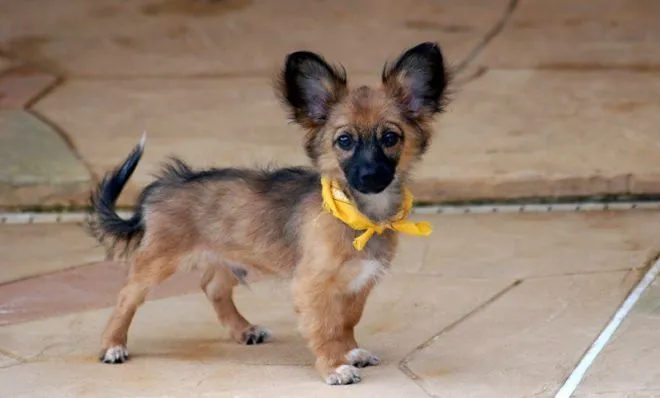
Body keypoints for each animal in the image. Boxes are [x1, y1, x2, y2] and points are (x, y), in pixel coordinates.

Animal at [86, 42, 448, 384]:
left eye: (390, 137)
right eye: (344, 141)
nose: (370, 175)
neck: (355, 215)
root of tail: (162, 187)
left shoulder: (360, 282)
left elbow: (347, 321)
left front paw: (350, 352)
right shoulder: (313, 285)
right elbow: (326, 328)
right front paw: (335, 366)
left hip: (229, 256)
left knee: (213, 287)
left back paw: (243, 330)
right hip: (158, 261)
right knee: (127, 296)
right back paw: (112, 345)